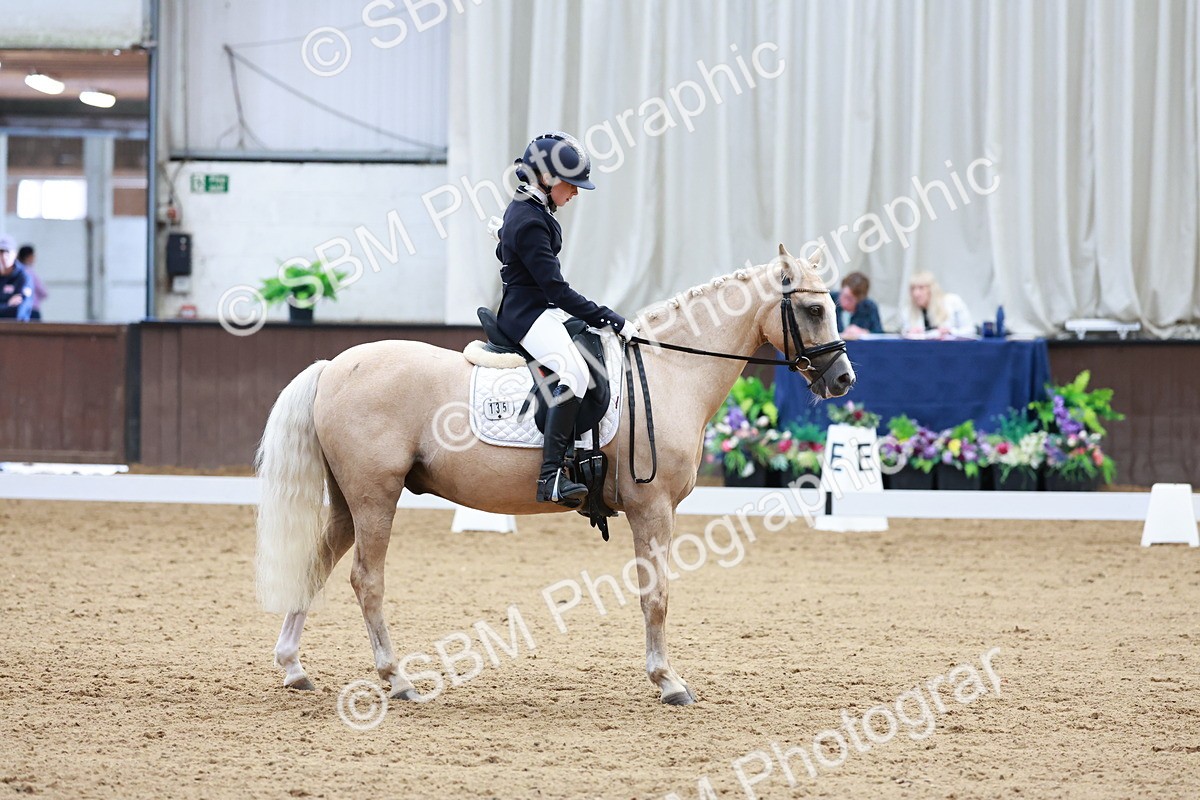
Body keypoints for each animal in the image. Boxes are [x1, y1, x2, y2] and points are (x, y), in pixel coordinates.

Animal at [255, 243, 855, 706]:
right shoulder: (653, 508)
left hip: (348, 500)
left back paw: (294, 668)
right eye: (811, 310)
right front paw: (668, 682)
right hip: (375, 497)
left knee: (316, 565)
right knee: (367, 580)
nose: (844, 379)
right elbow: (656, 594)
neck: (671, 370)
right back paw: (397, 679)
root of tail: (332, 367)